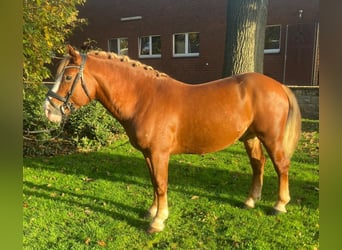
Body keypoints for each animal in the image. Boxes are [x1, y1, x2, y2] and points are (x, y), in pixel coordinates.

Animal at [44, 45, 300, 232]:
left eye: (68, 77)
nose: (49, 110)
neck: (144, 98)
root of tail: (279, 86)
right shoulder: (148, 154)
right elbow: (153, 183)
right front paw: (152, 212)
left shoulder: (159, 154)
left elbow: (161, 184)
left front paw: (158, 221)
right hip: (250, 137)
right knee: (258, 164)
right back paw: (250, 201)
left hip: (271, 138)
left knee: (281, 166)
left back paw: (279, 205)